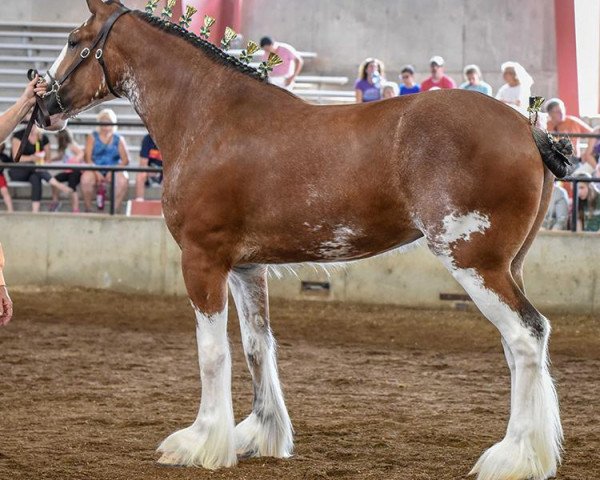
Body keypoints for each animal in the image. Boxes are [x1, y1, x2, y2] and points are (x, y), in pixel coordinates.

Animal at [36, 1, 572, 478]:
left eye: (74, 42)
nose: (41, 106)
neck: (210, 118)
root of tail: (529, 129)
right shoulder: (246, 267)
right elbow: (257, 346)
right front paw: (259, 436)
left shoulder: (202, 260)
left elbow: (212, 354)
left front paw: (202, 442)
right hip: (507, 266)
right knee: (520, 347)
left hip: (474, 262)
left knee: (526, 337)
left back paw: (512, 459)